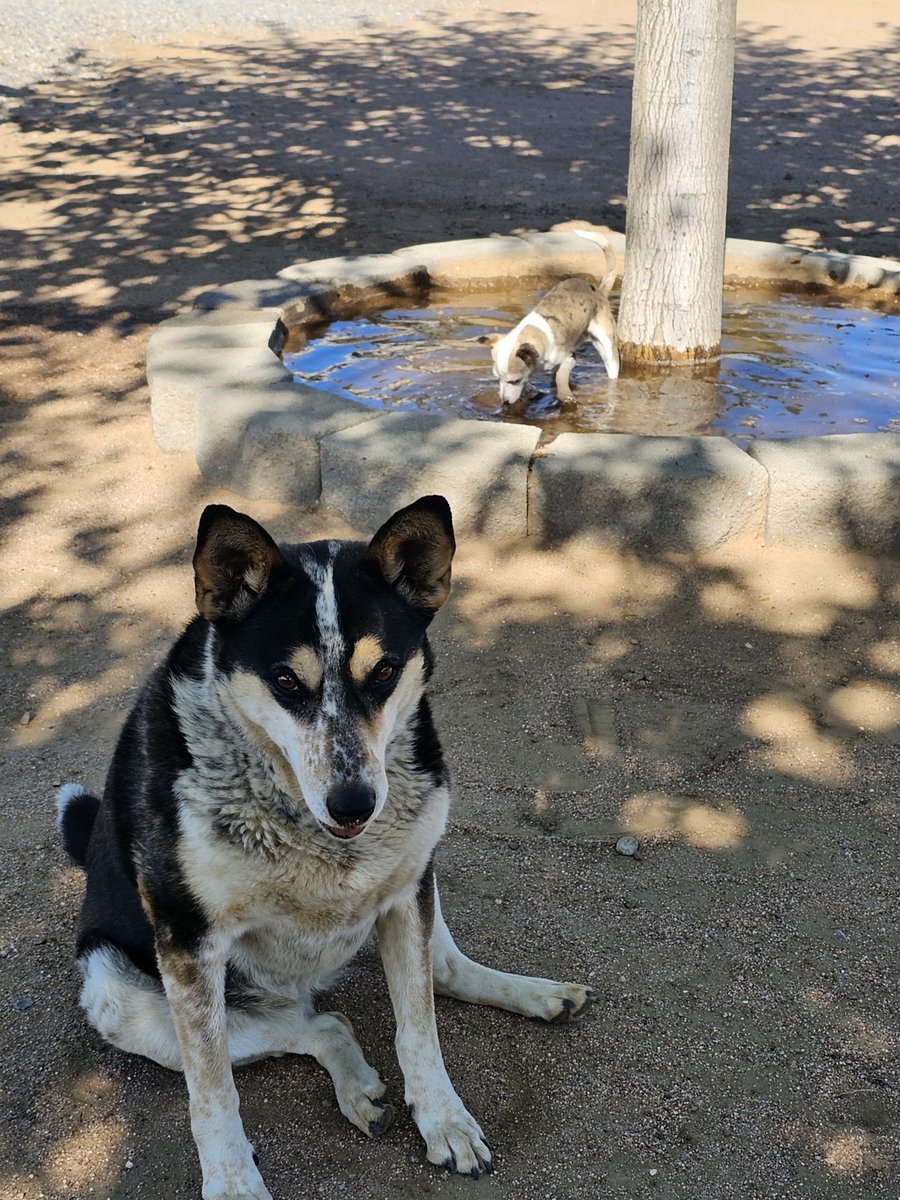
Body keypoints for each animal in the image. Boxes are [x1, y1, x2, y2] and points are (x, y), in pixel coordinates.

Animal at [54, 496, 592, 1200]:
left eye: (384, 670)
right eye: (285, 680)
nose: (354, 804)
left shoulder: (404, 894)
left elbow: (419, 1027)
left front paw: (444, 1121)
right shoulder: (190, 946)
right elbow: (212, 1092)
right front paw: (232, 1184)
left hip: (418, 865)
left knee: (433, 976)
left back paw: (533, 996)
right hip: (120, 994)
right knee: (313, 1024)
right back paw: (355, 1083)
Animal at [482, 226, 624, 405]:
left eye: (514, 381)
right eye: (497, 378)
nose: (504, 402)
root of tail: (598, 291)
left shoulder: (569, 357)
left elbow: (561, 375)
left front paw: (565, 395)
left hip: (607, 348)